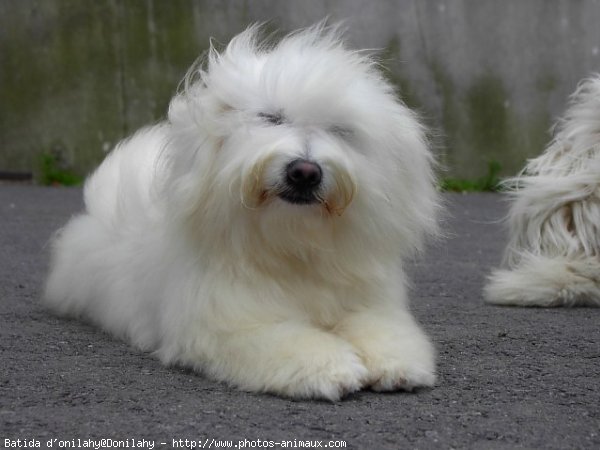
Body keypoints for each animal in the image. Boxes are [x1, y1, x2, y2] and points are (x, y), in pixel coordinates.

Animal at [44, 22, 438, 400]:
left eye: (340, 130)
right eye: (271, 118)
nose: (305, 172)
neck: (290, 246)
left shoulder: (366, 301)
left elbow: (382, 328)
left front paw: (397, 363)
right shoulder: (227, 323)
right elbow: (286, 341)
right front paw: (329, 369)